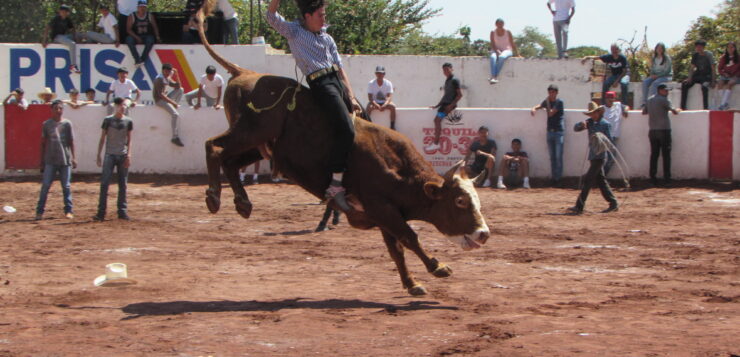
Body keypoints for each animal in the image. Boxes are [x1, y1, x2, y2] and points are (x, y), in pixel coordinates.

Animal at [195, 2, 492, 294]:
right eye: (460, 200)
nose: (484, 234)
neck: (396, 166)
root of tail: (244, 72)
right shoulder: (382, 207)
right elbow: (409, 237)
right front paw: (437, 266)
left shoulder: (382, 214)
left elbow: (395, 248)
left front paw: (412, 283)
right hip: (249, 130)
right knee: (214, 147)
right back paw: (214, 197)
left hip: (258, 144)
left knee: (230, 162)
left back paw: (243, 203)